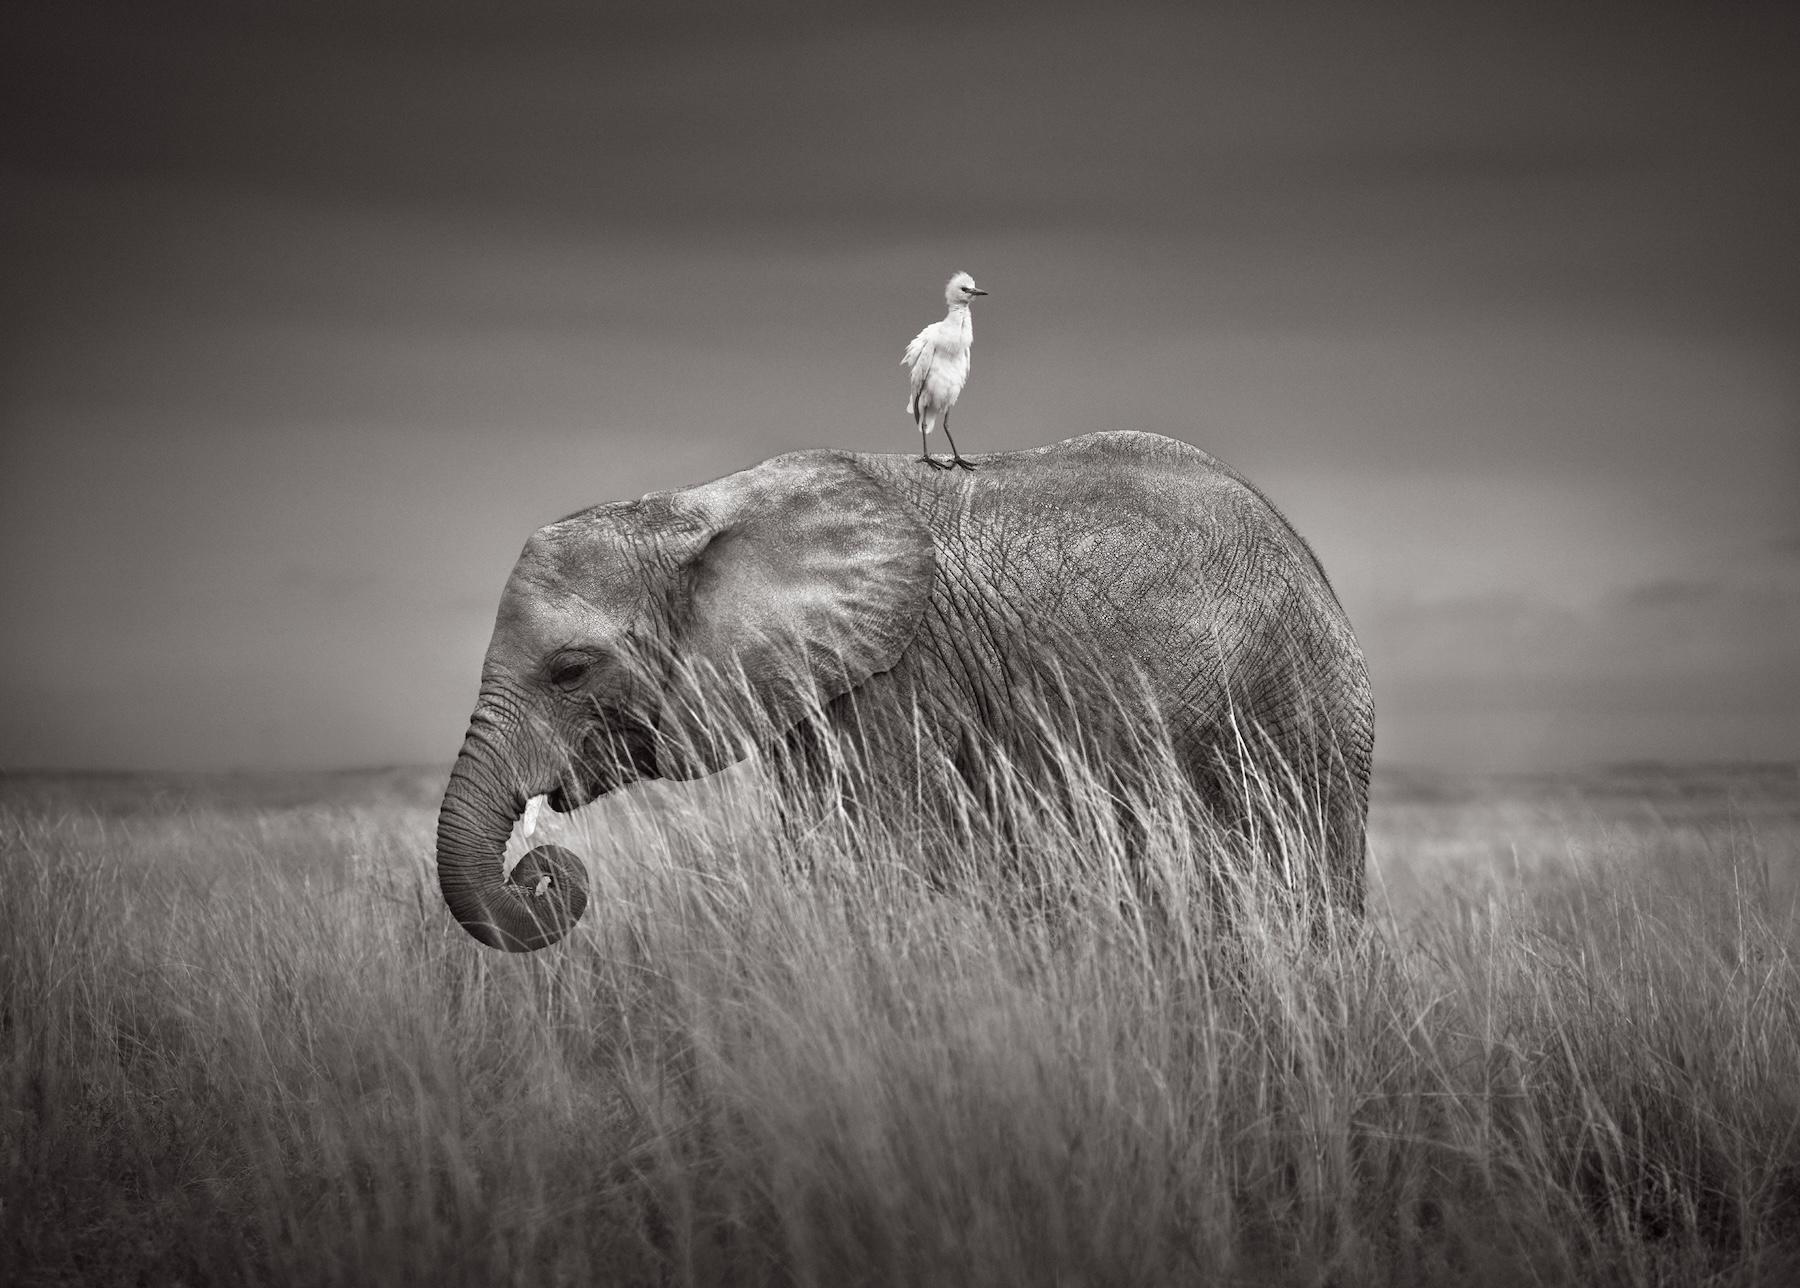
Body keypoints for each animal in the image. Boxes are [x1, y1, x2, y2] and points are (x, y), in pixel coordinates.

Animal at [435, 430, 1374, 951]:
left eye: (570, 670)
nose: (540, 871)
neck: (697, 507)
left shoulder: (903, 675)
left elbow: (869, 856)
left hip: (1300, 709)